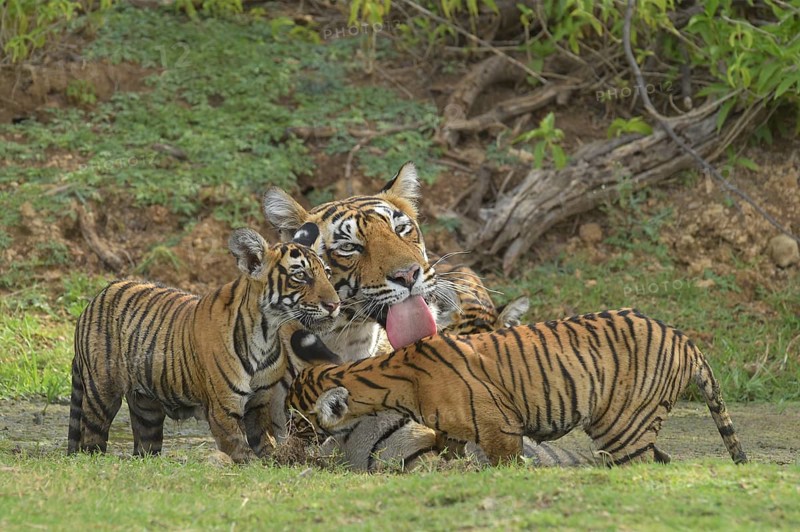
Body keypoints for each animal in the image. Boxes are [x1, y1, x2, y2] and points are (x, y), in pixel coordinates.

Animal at [67, 227, 342, 463]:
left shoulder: (259, 403)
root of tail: (97, 296)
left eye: (327, 273)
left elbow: (265, 444)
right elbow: (242, 451)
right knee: (91, 440)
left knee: (144, 448)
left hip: (147, 411)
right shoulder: (223, 409)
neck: (267, 333)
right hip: (101, 393)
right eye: (300, 276)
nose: (335, 304)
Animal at [286, 308, 748, 466]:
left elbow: (504, 465)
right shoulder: (452, 434)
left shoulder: (500, 429)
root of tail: (685, 340)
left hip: (623, 428)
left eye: (299, 421)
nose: (284, 448)